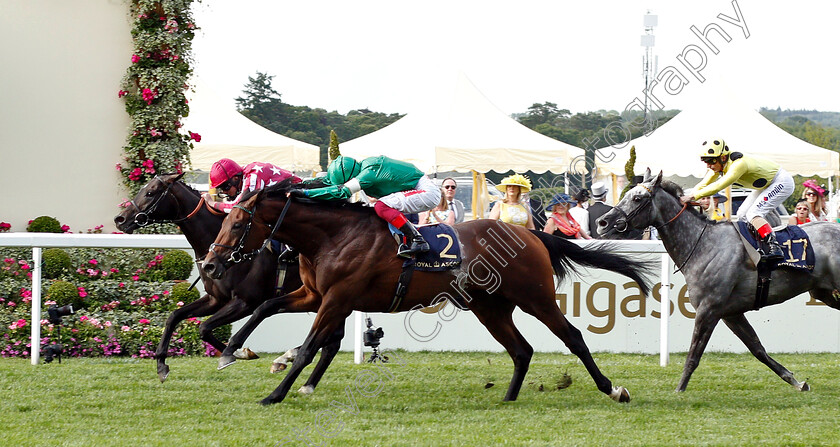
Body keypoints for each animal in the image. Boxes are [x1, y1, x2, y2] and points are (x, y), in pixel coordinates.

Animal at [111, 173, 342, 390]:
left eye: (150, 193)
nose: (120, 219)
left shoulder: (246, 302)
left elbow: (204, 327)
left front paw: (238, 353)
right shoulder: (216, 299)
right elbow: (175, 317)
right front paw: (161, 365)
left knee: (331, 340)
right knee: (333, 340)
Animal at [200, 179, 652, 406]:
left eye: (237, 223)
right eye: (224, 219)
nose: (209, 264)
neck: (333, 235)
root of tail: (531, 232)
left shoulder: (337, 299)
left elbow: (311, 346)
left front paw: (276, 394)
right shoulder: (314, 296)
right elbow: (266, 307)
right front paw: (231, 350)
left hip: (534, 297)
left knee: (572, 337)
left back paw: (614, 389)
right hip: (489, 307)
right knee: (521, 350)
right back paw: (507, 399)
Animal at [592, 170, 840, 394]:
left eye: (637, 198)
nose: (602, 222)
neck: (702, 244)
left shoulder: (708, 309)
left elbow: (694, 355)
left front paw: (678, 391)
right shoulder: (730, 313)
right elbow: (758, 349)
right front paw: (797, 381)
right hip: (823, 293)